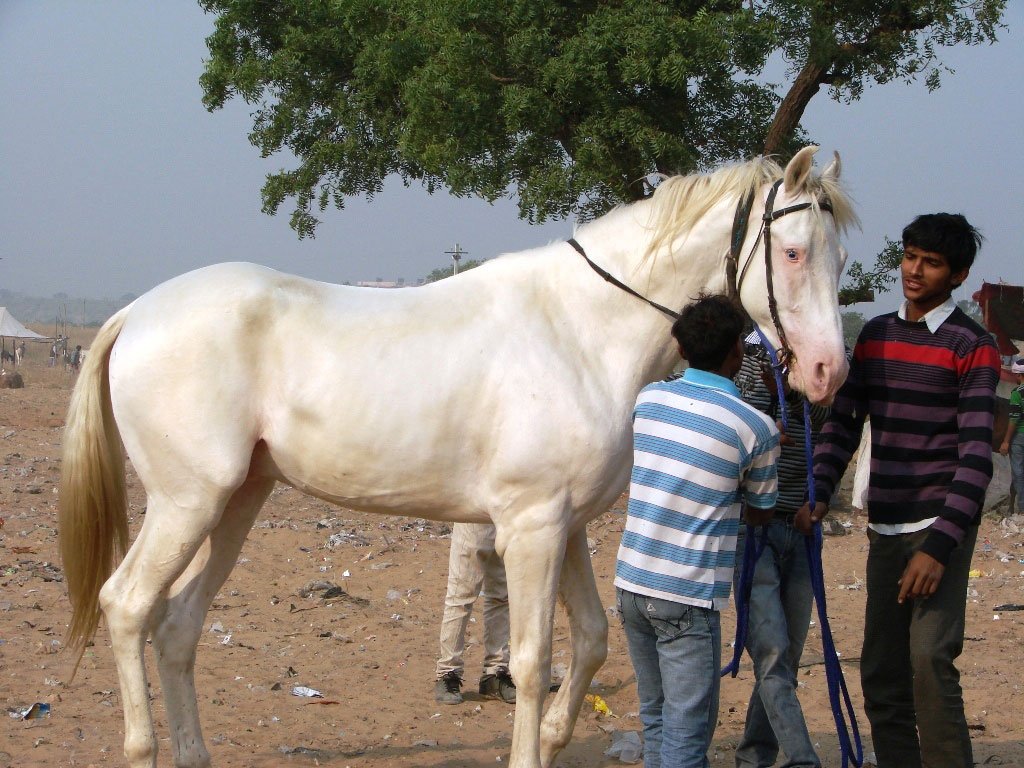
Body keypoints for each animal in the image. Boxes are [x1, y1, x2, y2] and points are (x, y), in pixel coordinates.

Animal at [58, 147, 856, 765]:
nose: (827, 374)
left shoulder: (564, 527)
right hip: (188, 503)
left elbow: (592, 641)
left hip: (236, 505)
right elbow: (533, 662)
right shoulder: (531, 528)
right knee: (127, 606)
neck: (578, 330)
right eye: (792, 253)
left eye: (839, 255)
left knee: (177, 627)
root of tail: (137, 314)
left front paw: (556, 739)